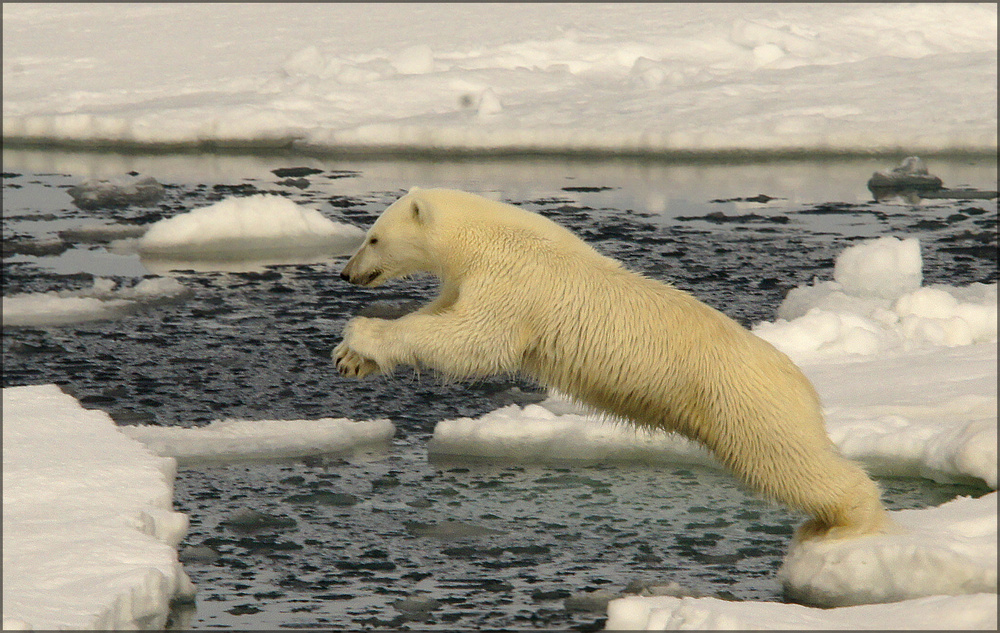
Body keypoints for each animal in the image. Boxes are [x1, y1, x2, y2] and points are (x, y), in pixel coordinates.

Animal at [336, 186, 892, 540]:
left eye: (373, 237)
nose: (346, 273)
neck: (486, 238)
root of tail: (802, 383)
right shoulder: (471, 280)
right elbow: (442, 317)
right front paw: (352, 359)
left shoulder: (514, 283)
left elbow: (471, 340)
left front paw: (360, 334)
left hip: (745, 404)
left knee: (791, 462)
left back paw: (848, 520)